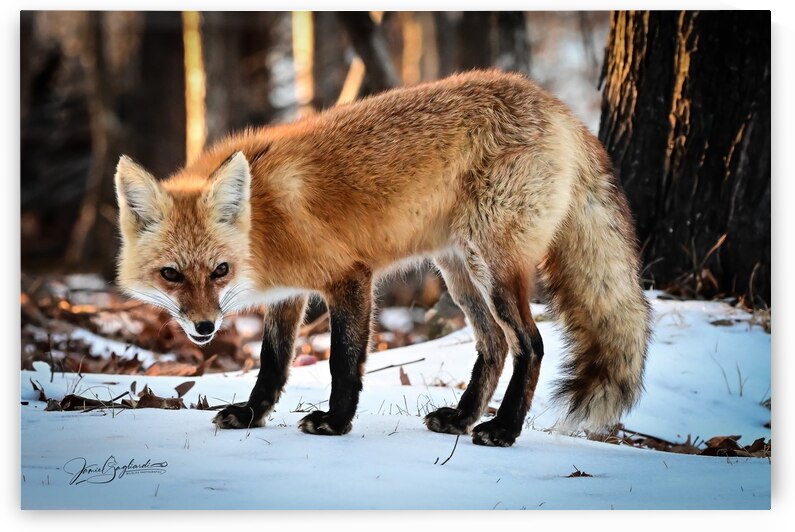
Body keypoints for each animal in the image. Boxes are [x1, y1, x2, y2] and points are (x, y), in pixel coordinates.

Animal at [115, 70, 651, 447]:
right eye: (171, 274)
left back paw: (503, 429)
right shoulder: (289, 294)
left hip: (494, 268)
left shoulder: (349, 277)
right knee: (495, 344)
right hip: (460, 273)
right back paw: (463, 417)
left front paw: (335, 423)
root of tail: (556, 105)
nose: (205, 327)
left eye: (219, 270)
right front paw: (251, 414)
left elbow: (342, 363)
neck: (264, 218)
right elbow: (272, 363)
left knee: (531, 344)